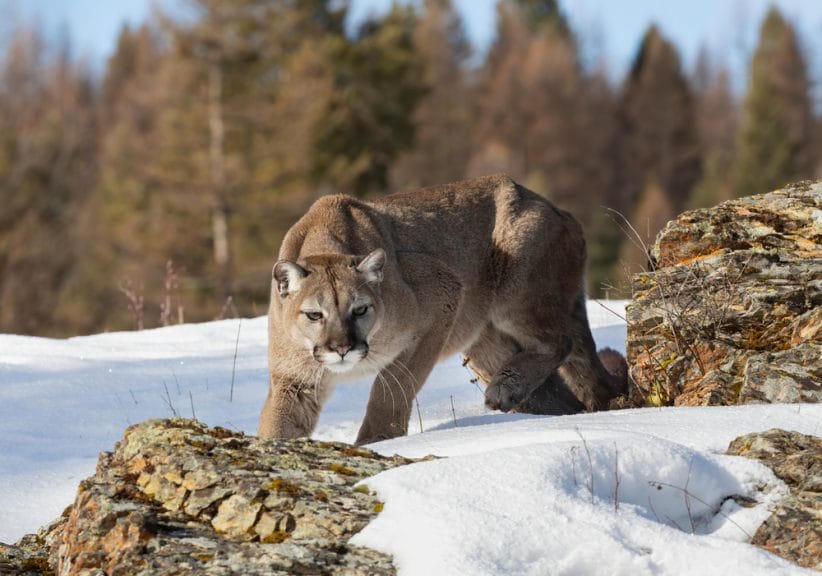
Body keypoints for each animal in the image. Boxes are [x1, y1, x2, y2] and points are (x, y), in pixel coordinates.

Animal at [260, 173, 628, 444]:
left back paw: (504, 389)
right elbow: (278, 424)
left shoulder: (442, 296)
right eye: (314, 315)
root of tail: (556, 208)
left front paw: (377, 442)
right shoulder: (294, 379)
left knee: (561, 341)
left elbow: (391, 388)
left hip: (518, 290)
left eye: (360, 310)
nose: (341, 349)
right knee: (567, 396)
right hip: (485, 343)